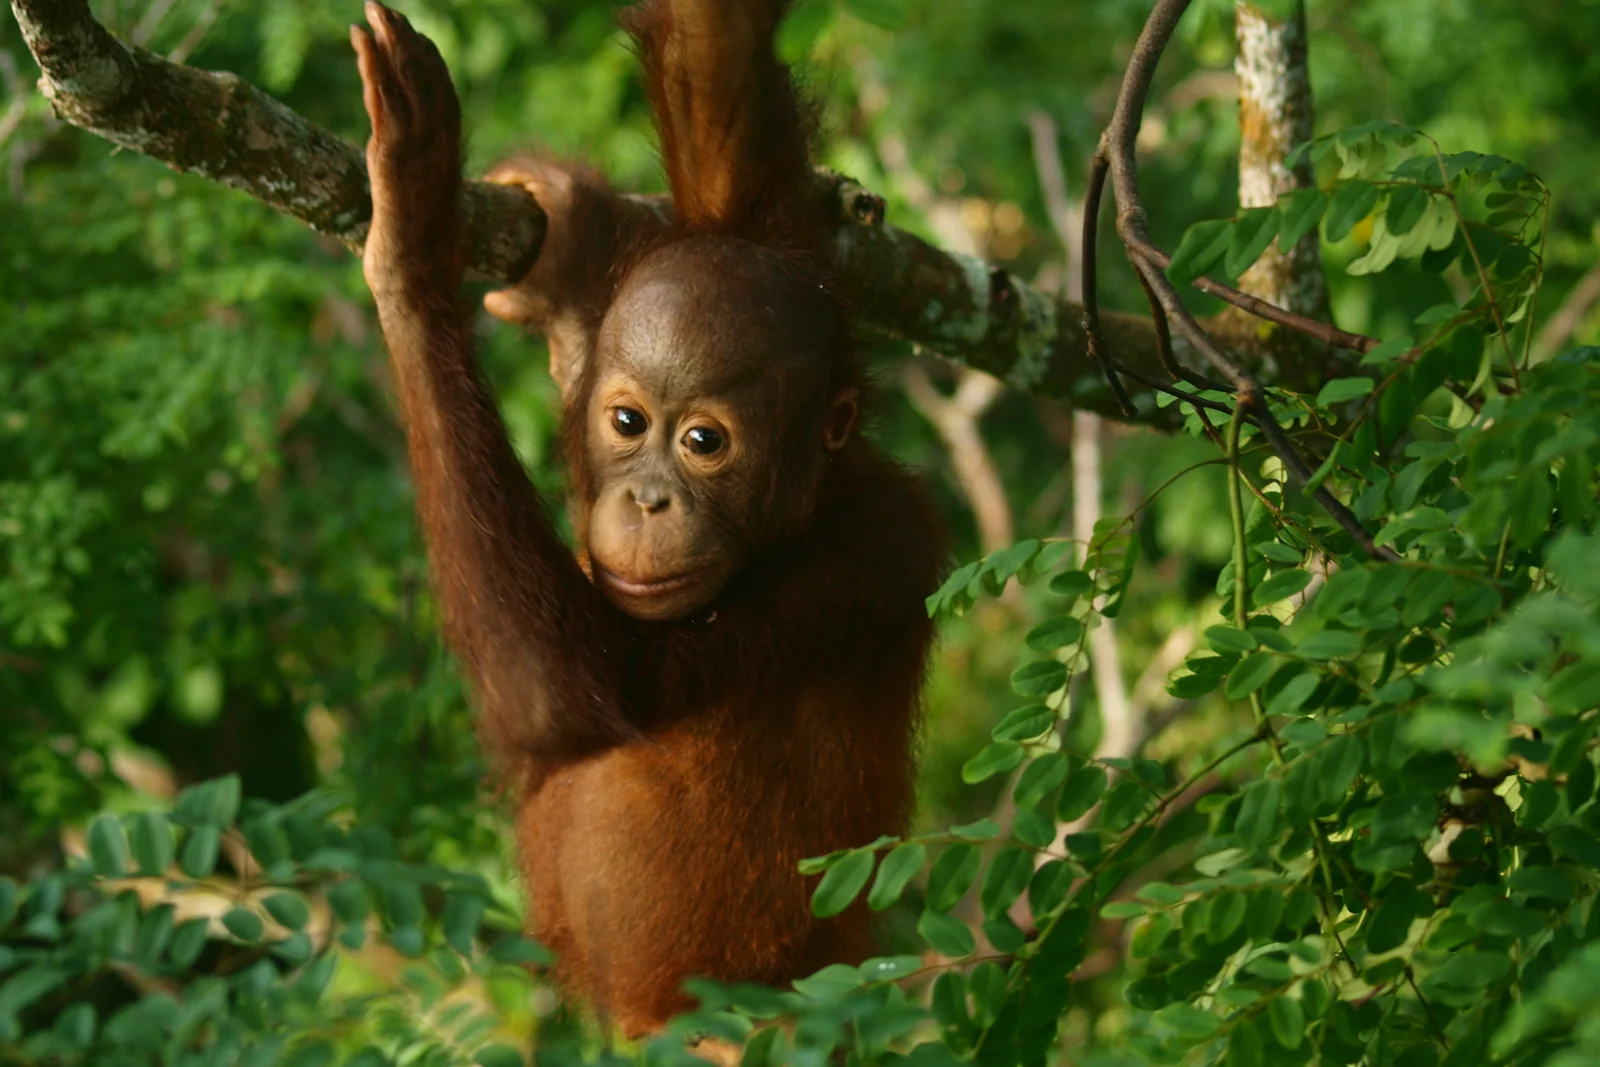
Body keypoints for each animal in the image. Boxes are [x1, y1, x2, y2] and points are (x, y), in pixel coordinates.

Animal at [350, 0, 947, 1037]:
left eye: (703, 441)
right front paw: (565, 226)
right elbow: (725, 101)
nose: (646, 499)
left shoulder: (870, 556)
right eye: (628, 423)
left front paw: (412, 241)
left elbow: (590, 690)